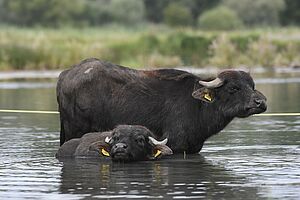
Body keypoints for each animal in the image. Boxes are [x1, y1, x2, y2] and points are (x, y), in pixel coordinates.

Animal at [56, 57, 268, 153]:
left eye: (252, 86)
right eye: (233, 88)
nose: (261, 102)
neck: (198, 106)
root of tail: (65, 74)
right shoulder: (176, 146)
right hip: (74, 131)